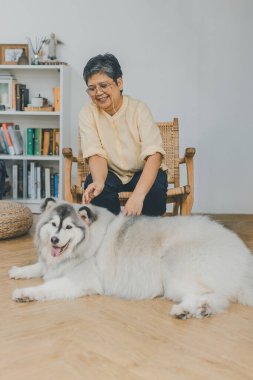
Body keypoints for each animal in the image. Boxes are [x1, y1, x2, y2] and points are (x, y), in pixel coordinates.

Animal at [8, 200, 253, 320]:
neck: (88, 241)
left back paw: (187, 309)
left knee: (210, 294)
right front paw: (17, 271)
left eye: (68, 227)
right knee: (216, 299)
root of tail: (244, 261)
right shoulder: (53, 265)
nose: (54, 240)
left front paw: (25, 293)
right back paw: (200, 310)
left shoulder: (79, 281)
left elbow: (46, 287)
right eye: (53, 224)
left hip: (173, 266)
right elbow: (37, 267)